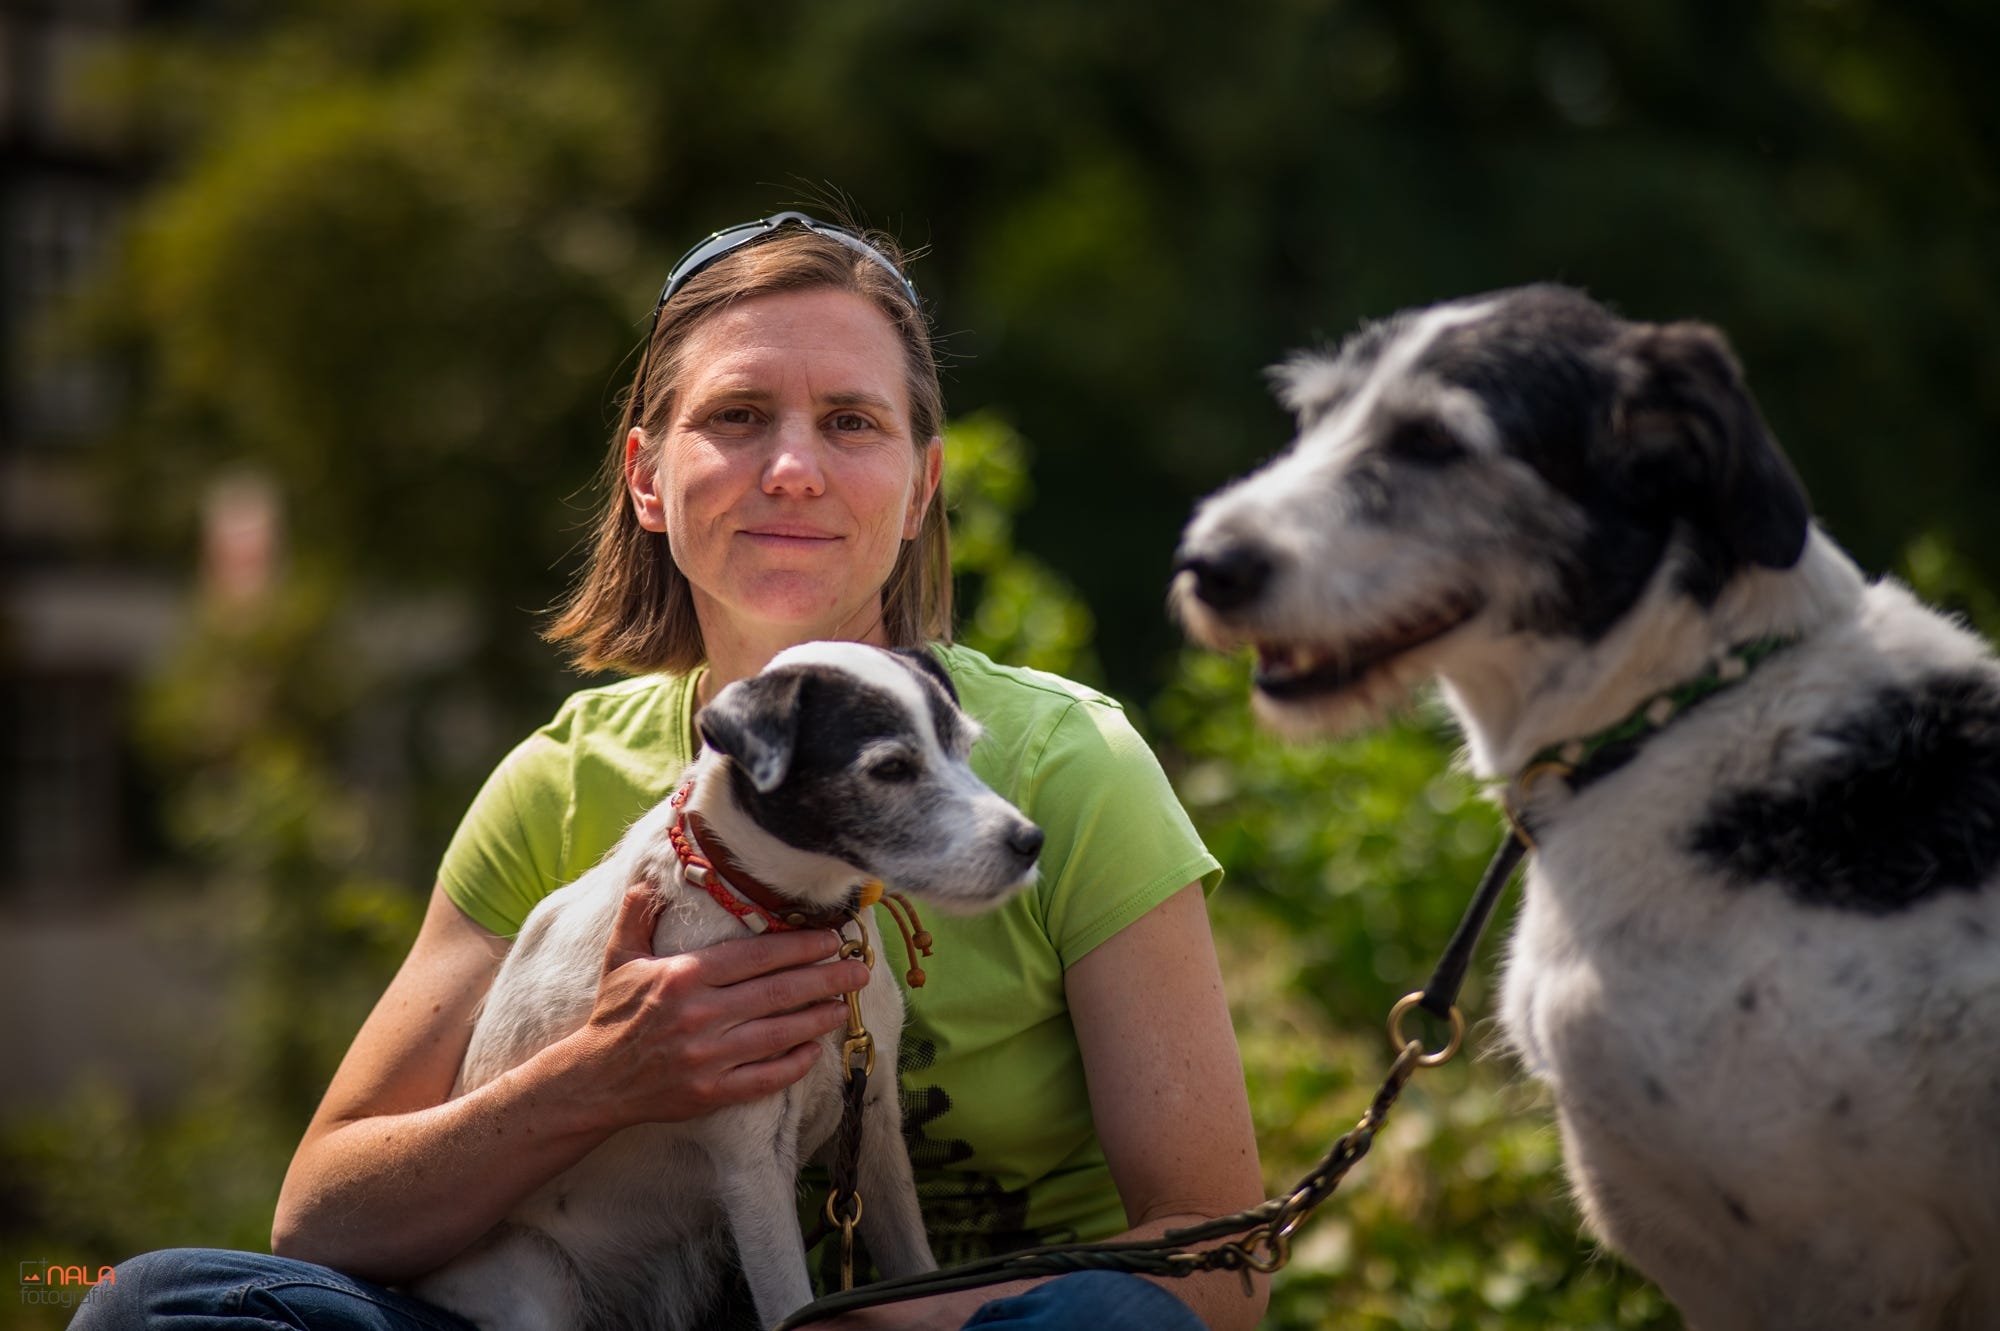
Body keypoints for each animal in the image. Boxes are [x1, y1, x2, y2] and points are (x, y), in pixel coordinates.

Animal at [410, 641, 1043, 1331]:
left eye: (964, 749)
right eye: (891, 768)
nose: (1030, 841)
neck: (778, 908)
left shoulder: (873, 1123)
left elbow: (914, 1269)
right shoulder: (753, 1162)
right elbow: (794, 1306)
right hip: (536, 1281)